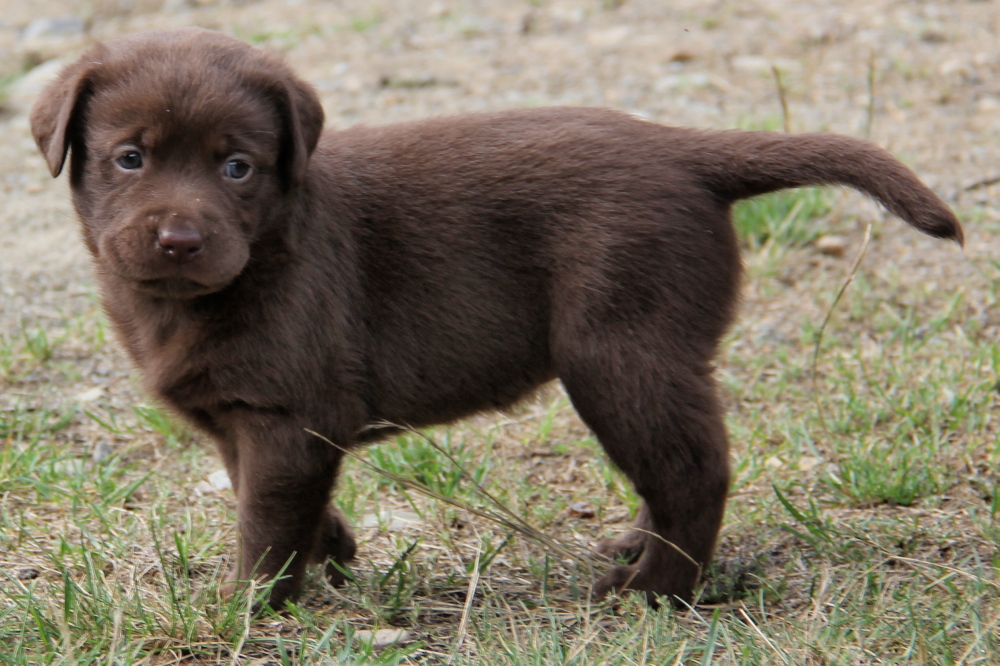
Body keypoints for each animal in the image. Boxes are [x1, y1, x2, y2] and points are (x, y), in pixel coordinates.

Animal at [33, 28, 960, 604]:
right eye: (129, 158)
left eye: (237, 167)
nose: (180, 239)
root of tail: (683, 149)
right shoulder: (248, 419)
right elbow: (262, 494)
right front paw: (330, 552)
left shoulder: (289, 412)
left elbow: (263, 520)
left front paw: (252, 604)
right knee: (676, 463)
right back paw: (639, 553)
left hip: (618, 349)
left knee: (695, 470)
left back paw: (654, 592)